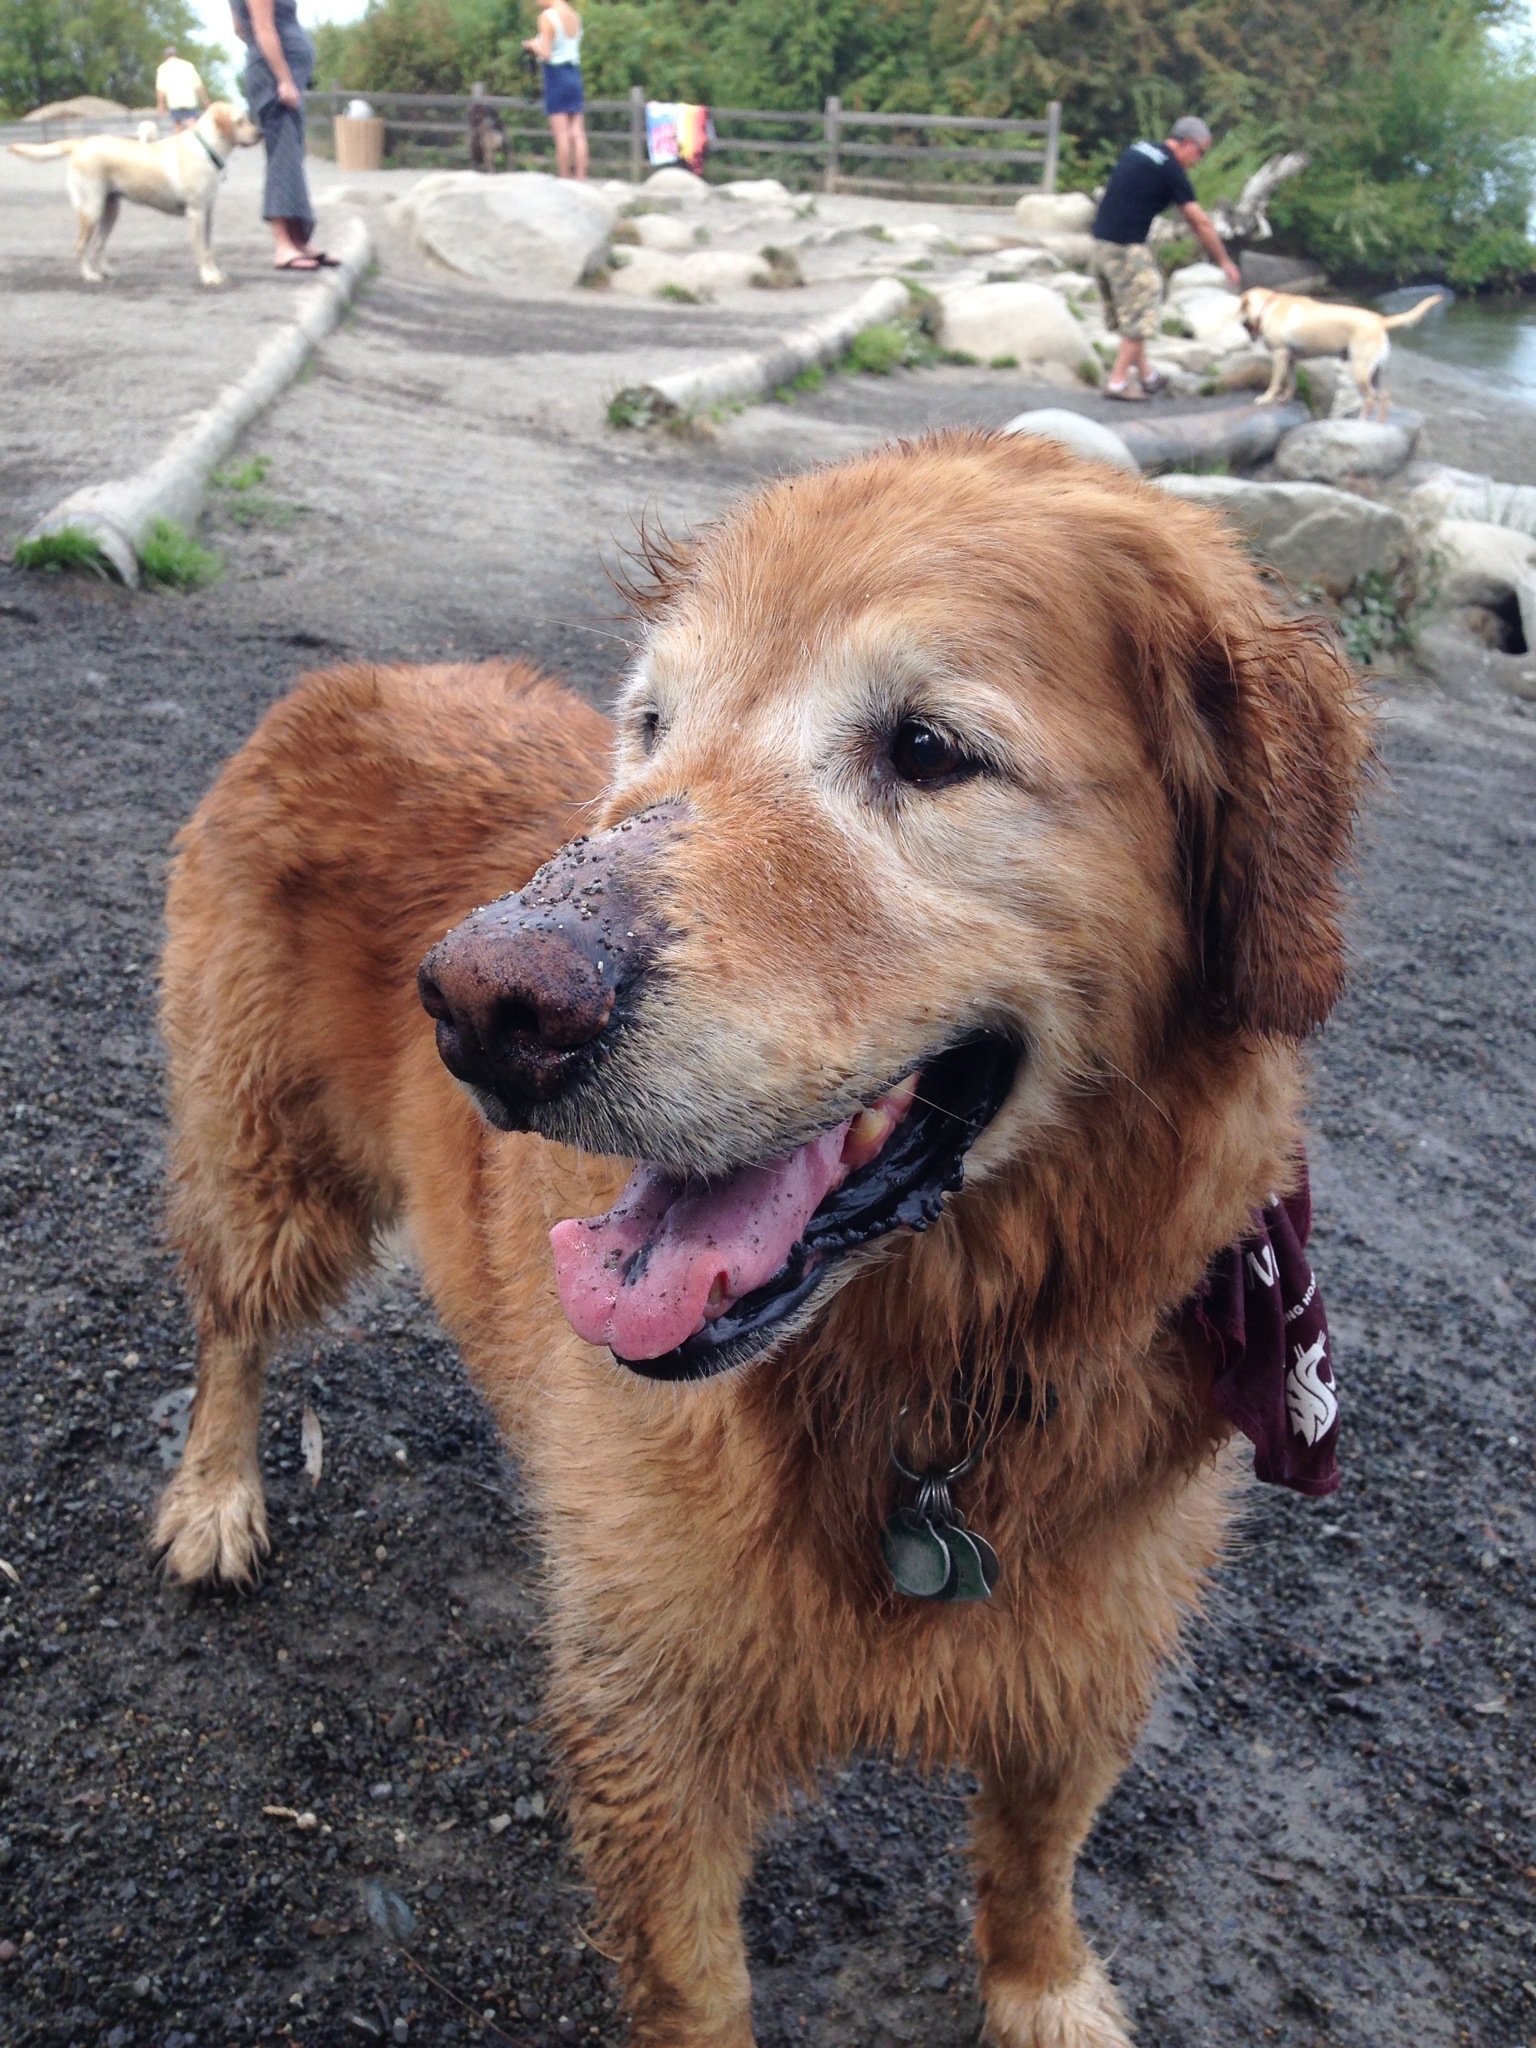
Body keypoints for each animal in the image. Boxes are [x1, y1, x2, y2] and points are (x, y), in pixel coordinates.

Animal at [8, 101, 260, 286]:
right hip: (91, 210)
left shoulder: (208, 213)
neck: (207, 148)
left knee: (98, 245)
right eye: (240, 121)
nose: (260, 133)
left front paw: (215, 273)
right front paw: (207, 277)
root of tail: (80, 143)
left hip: (110, 211)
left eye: (247, 118)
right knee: (81, 246)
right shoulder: (195, 213)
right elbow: (200, 251)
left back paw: (107, 271)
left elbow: (209, 250)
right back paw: (89, 275)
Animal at [153, 432, 1370, 2046]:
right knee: (229, 1325)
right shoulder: (652, 1733)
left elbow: (1037, 1856)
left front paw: (1047, 1993)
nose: (483, 1008)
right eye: (651, 725)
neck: (935, 1380)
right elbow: (699, 1983)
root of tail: (355, 678)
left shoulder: (1094, 1638)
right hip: (271, 1164)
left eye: (927, 748)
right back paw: (215, 1495)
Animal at [1240, 284, 1442, 420]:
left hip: (1360, 371)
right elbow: (1291, 382)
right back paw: (1380, 424)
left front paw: (1266, 398)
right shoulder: (1290, 360)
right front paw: (1285, 398)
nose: (1242, 327)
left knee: (1371, 399)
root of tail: (1380, 320)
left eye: (1241, 312)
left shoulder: (1279, 355)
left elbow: (1275, 382)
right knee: (1384, 397)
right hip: (1374, 373)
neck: (1267, 307)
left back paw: (1362, 422)